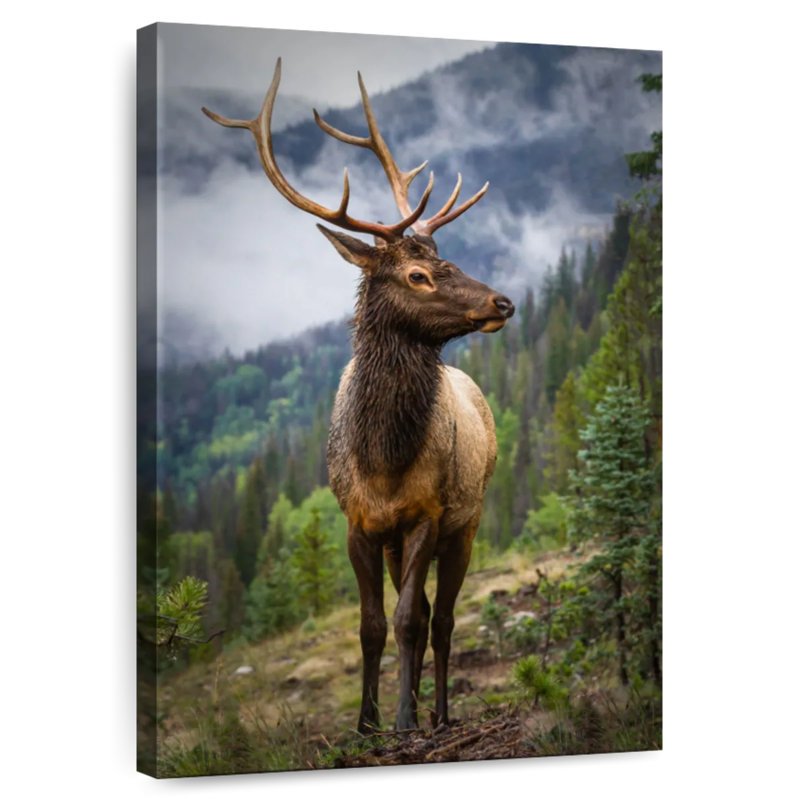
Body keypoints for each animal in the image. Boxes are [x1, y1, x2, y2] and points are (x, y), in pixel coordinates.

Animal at [203, 59, 514, 734]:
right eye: (418, 274)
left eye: (447, 258)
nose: (503, 301)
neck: (384, 459)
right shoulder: (360, 522)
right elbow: (372, 626)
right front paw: (368, 724)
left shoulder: (427, 514)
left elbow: (407, 621)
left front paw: (403, 721)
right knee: (423, 614)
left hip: (469, 520)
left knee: (442, 620)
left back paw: (439, 714)